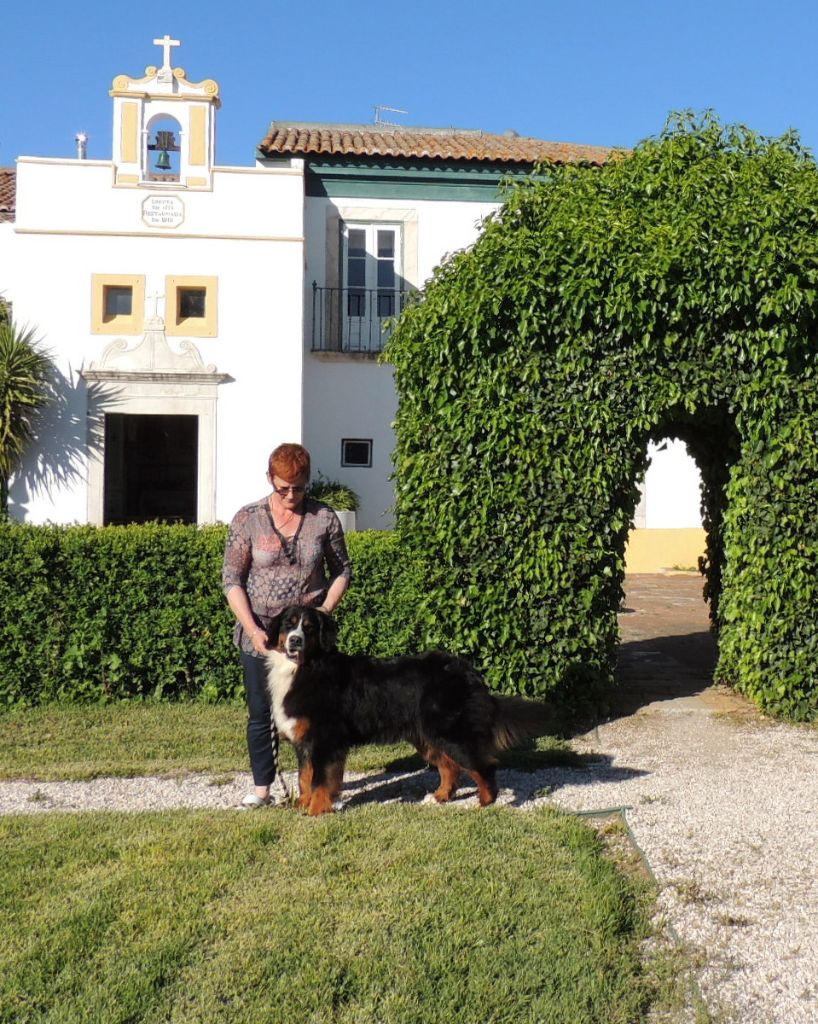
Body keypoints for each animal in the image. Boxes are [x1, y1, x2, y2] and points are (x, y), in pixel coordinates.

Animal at [266, 606, 552, 815]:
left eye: (309, 628)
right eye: (288, 624)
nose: (295, 641)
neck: (304, 668)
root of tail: (469, 671)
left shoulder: (325, 740)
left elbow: (320, 780)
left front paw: (315, 811)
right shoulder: (305, 742)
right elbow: (305, 777)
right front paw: (302, 804)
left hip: (452, 734)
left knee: (483, 765)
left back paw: (485, 802)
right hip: (428, 737)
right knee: (450, 767)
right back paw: (440, 797)